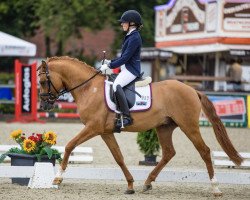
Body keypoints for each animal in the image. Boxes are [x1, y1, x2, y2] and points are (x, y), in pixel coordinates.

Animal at [37, 56, 242, 197]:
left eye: (43, 81)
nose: (44, 105)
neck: (89, 89)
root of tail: (192, 89)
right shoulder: (105, 132)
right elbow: (118, 157)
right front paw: (130, 185)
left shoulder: (93, 128)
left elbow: (70, 145)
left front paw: (58, 178)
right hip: (165, 127)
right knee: (169, 152)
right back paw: (148, 182)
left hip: (188, 126)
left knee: (204, 151)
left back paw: (215, 188)